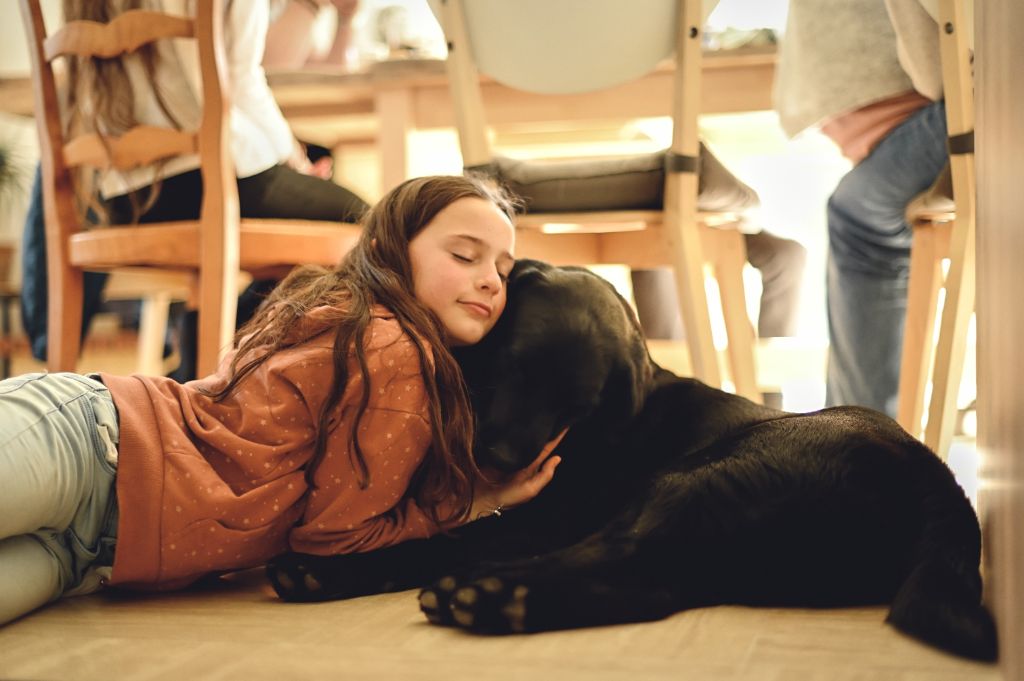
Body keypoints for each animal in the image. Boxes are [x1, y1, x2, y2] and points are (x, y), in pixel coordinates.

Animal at [266, 259, 999, 659]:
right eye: (514, 363)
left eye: (576, 403)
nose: (501, 457)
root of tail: (948, 498)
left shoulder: (543, 515)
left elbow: (438, 539)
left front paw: (325, 569)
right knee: (657, 587)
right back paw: (504, 599)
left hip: (708, 478)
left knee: (630, 559)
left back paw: (493, 594)